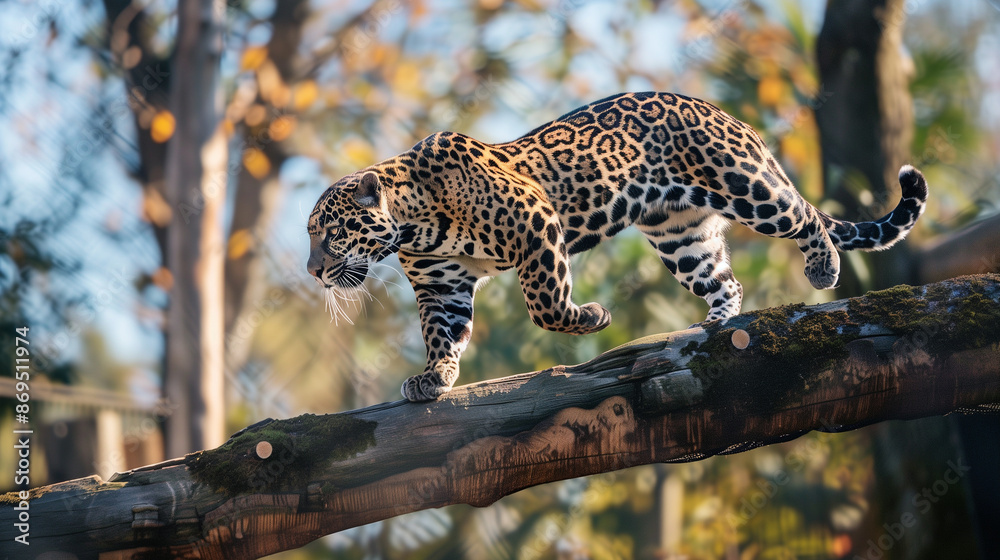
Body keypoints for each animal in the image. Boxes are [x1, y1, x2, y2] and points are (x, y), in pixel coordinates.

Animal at [306, 92, 928, 402]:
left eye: (330, 233)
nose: (313, 271)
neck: (414, 224)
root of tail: (719, 110)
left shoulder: (535, 224)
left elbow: (544, 304)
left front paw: (591, 317)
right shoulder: (442, 286)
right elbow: (442, 335)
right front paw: (434, 378)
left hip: (745, 186)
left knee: (805, 217)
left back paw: (822, 266)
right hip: (681, 235)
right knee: (725, 281)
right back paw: (713, 326)